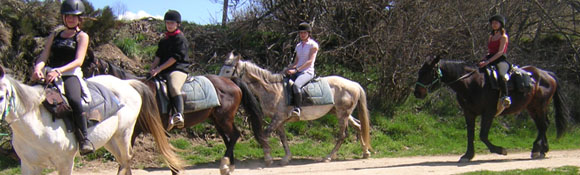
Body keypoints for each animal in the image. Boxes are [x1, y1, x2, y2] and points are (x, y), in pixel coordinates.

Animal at [0, 66, 184, 175]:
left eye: (1, 96)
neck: (37, 126)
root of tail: (127, 83)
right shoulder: (29, 165)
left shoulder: (65, 163)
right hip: (109, 140)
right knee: (122, 160)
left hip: (124, 134)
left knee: (126, 158)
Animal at [81, 57, 266, 174]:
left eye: (89, 69)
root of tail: (231, 81)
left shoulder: (133, 132)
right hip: (217, 120)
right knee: (229, 139)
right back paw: (228, 166)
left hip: (224, 118)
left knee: (234, 135)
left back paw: (225, 165)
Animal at [218, 52, 372, 165]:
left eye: (228, 70)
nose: (218, 82)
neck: (273, 89)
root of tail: (354, 84)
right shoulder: (278, 120)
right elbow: (283, 138)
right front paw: (286, 158)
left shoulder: (278, 117)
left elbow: (265, 134)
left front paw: (268, 157)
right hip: (342, 113)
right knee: (359, 126)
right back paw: (365, 152)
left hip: (342, 114)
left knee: (343, 135)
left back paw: (329, 156)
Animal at [414, 56, 568, 163]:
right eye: (420, 71)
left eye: (427, 72)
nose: (417, 93)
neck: (472, 83)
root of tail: (546, 73)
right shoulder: (469, 113)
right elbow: (470, 134)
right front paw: (468, 155)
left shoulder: (488, 113)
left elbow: (482, 135)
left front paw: (500, 150)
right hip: (532, 107)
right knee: (543, 125)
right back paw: (542, 149)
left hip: (539, 106)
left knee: (543, 125)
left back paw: (537, 149)